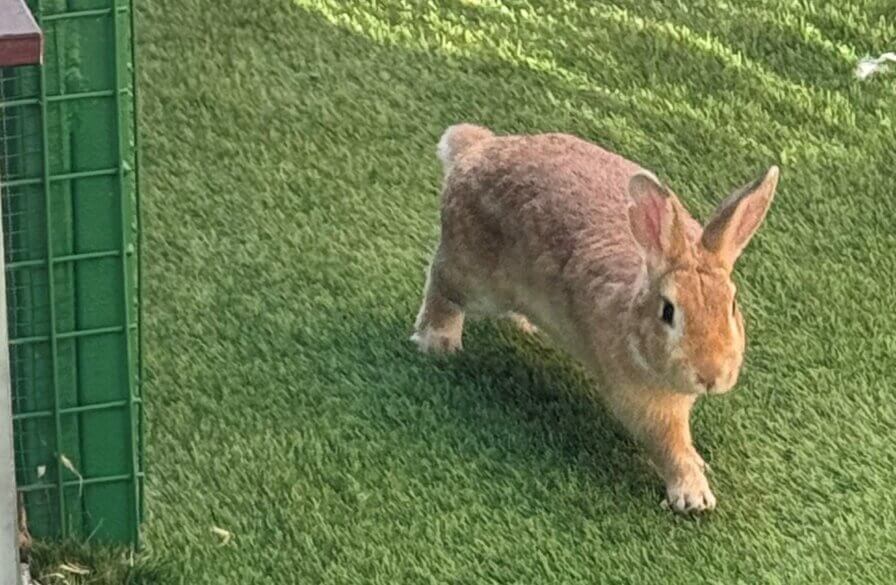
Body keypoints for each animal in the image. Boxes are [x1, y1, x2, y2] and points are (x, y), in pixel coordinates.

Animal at [411, 124, 779, 513]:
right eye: (668, 311)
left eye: (733, 305)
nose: (711, 375)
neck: (632, 321)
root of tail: (473, 153)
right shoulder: (642, 405)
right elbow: (668, 446)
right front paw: (694, 495)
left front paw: (698, 463)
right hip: (475, 278)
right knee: (442, 285)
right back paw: (439, 342)